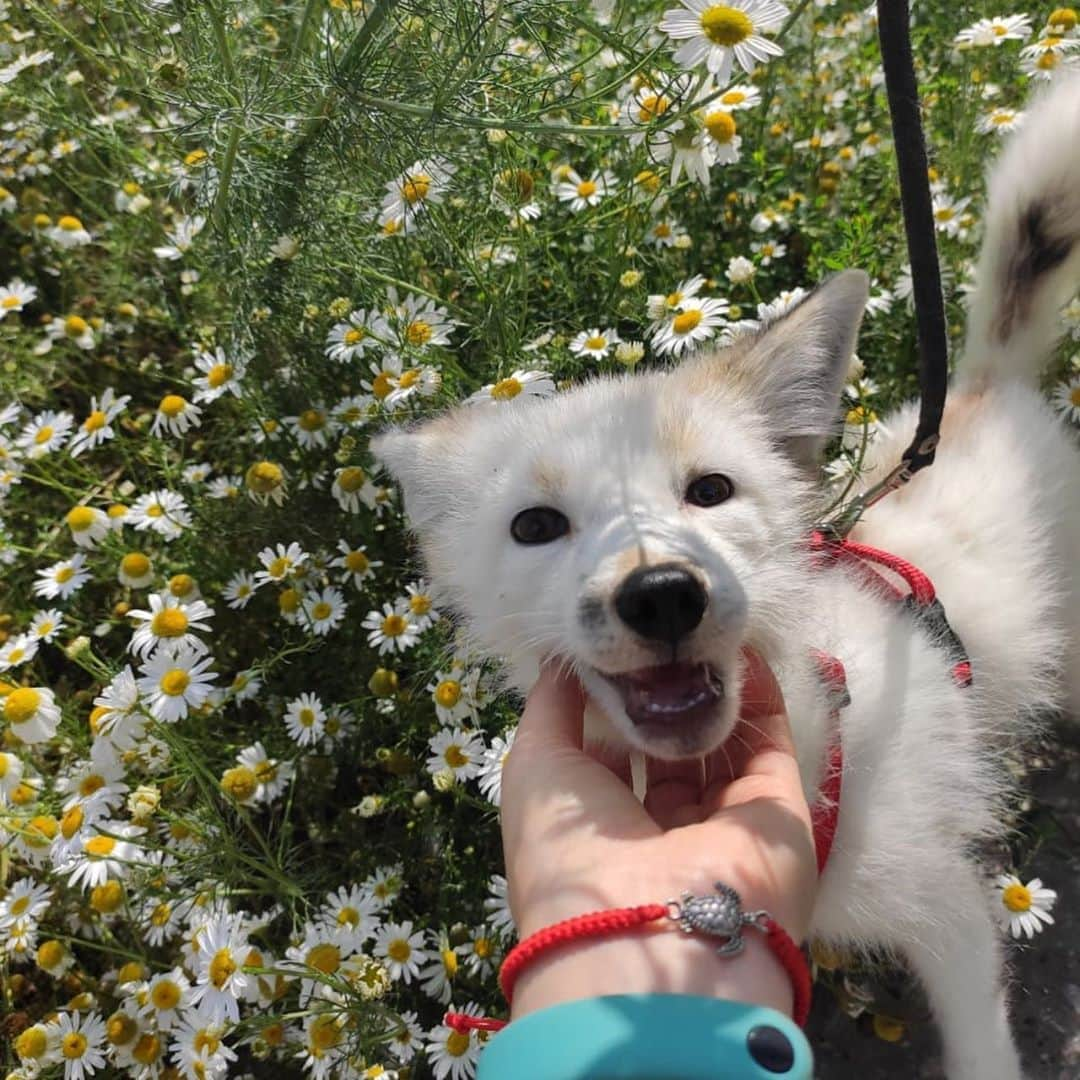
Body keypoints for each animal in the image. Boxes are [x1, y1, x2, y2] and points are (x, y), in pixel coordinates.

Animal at [373, 76, 1080, 1080]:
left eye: (711, 490)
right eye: (536, 525)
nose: (663, 594)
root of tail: (985, 392)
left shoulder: (951, 909)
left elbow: (983, 1048)